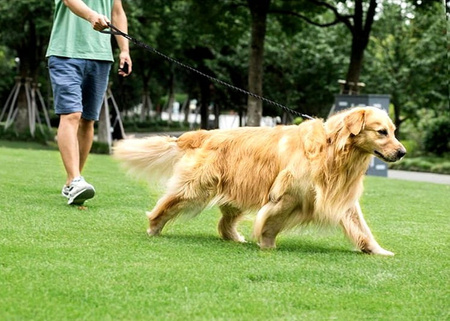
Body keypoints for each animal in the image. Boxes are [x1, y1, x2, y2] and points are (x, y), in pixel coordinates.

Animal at [112, 107, 404, 255]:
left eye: (393, 131)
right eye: (381, 132)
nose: (402, 152)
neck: (333, 148)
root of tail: (203, 134)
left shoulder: (339, 196)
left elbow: (361, 227)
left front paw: (377, 250)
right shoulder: (287, 194)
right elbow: (272, 221)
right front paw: (267, 244)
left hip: (236, 190)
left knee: (224, 222)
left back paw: (234, 238)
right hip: (196, 188)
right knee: (167, 204)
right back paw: (154, 228)